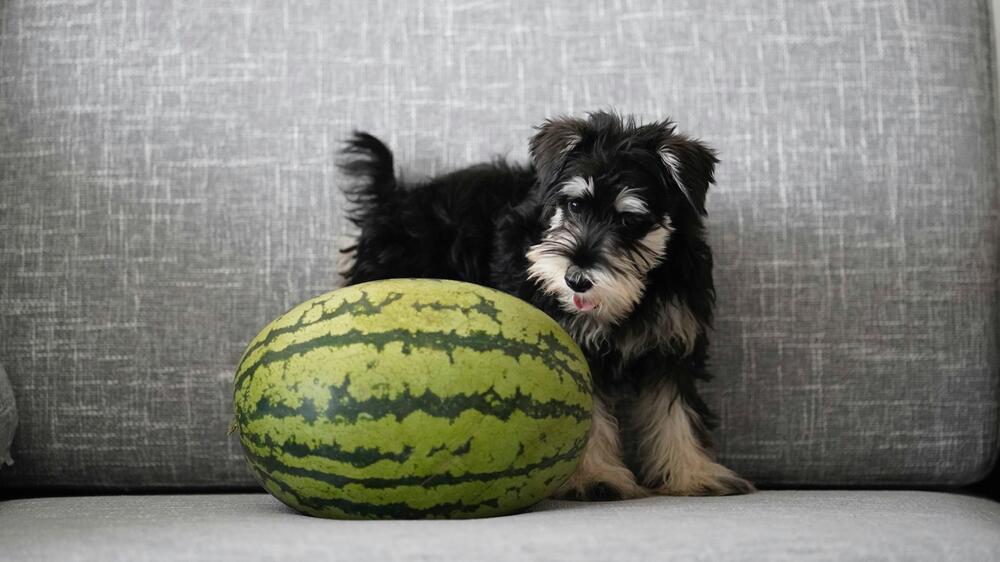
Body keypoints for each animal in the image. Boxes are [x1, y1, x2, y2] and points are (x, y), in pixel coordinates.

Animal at [336, 111, 752, 496]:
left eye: (630, 220)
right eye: (574, 205)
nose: (576, 280)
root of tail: (393, 199)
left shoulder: (673, 344)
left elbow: (678, 414)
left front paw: (693, 474)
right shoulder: (573, 350)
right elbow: (590, 419)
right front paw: (594, 478)